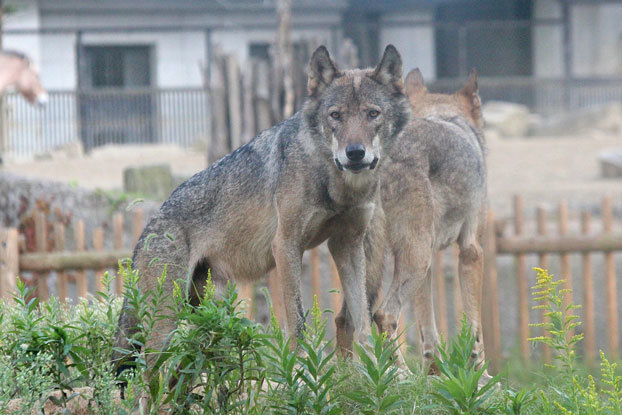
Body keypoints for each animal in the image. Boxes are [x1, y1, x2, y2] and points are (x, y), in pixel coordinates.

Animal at [114, 44, 412, 370]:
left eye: (373, 114)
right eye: (336, 115)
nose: (355, 153)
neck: (334, 181)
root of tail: (148, 228)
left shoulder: (347, 244)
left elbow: (362, 319)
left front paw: (376, 370)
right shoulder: (286, 245)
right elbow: (297, 319)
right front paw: (302, 371)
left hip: (203, 316)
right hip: (166, 324)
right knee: (146, 374)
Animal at [336, 67, 488, 374]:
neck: (445, 117)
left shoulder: (429, 267)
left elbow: (428, 329)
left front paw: (433, 373)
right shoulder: (471, 252)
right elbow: (476, 331)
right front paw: (484, 376)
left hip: (387, 260)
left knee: (347, 320)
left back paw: (345, 376)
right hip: (415, 260)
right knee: (384, 314)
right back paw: (400, 373)